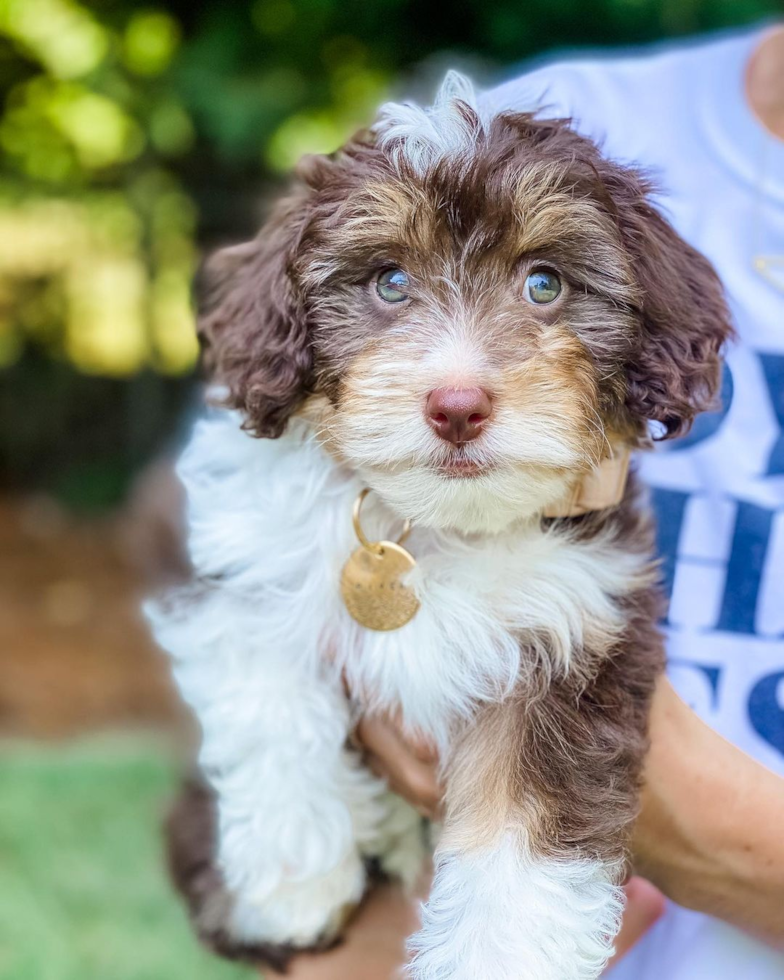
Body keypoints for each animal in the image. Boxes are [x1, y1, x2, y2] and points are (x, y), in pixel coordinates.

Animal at [149, 72, 736, 976]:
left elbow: (524, 827)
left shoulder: (574, 633)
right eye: (390, 282)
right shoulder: (249, 567)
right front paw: (290, 885)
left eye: (544, 284)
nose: (457, 405)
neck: (437, 524)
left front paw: (499, 954)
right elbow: (269, 702)